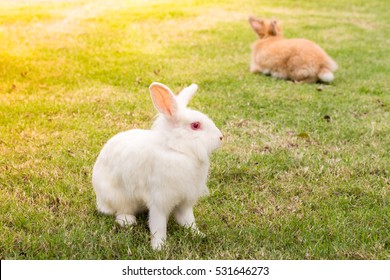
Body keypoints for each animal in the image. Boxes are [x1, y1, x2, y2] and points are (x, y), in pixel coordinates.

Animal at [92, 81, 224, 249]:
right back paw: (128, 221)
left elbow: (188, 220)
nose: (221, 137)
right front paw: (158, 247)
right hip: (118, 197)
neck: (177, 150)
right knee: (120, 211)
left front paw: (199, 234)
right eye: (195, 125)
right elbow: (158, 225)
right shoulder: (159, 201)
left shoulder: (185, 201)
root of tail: (100, 201)